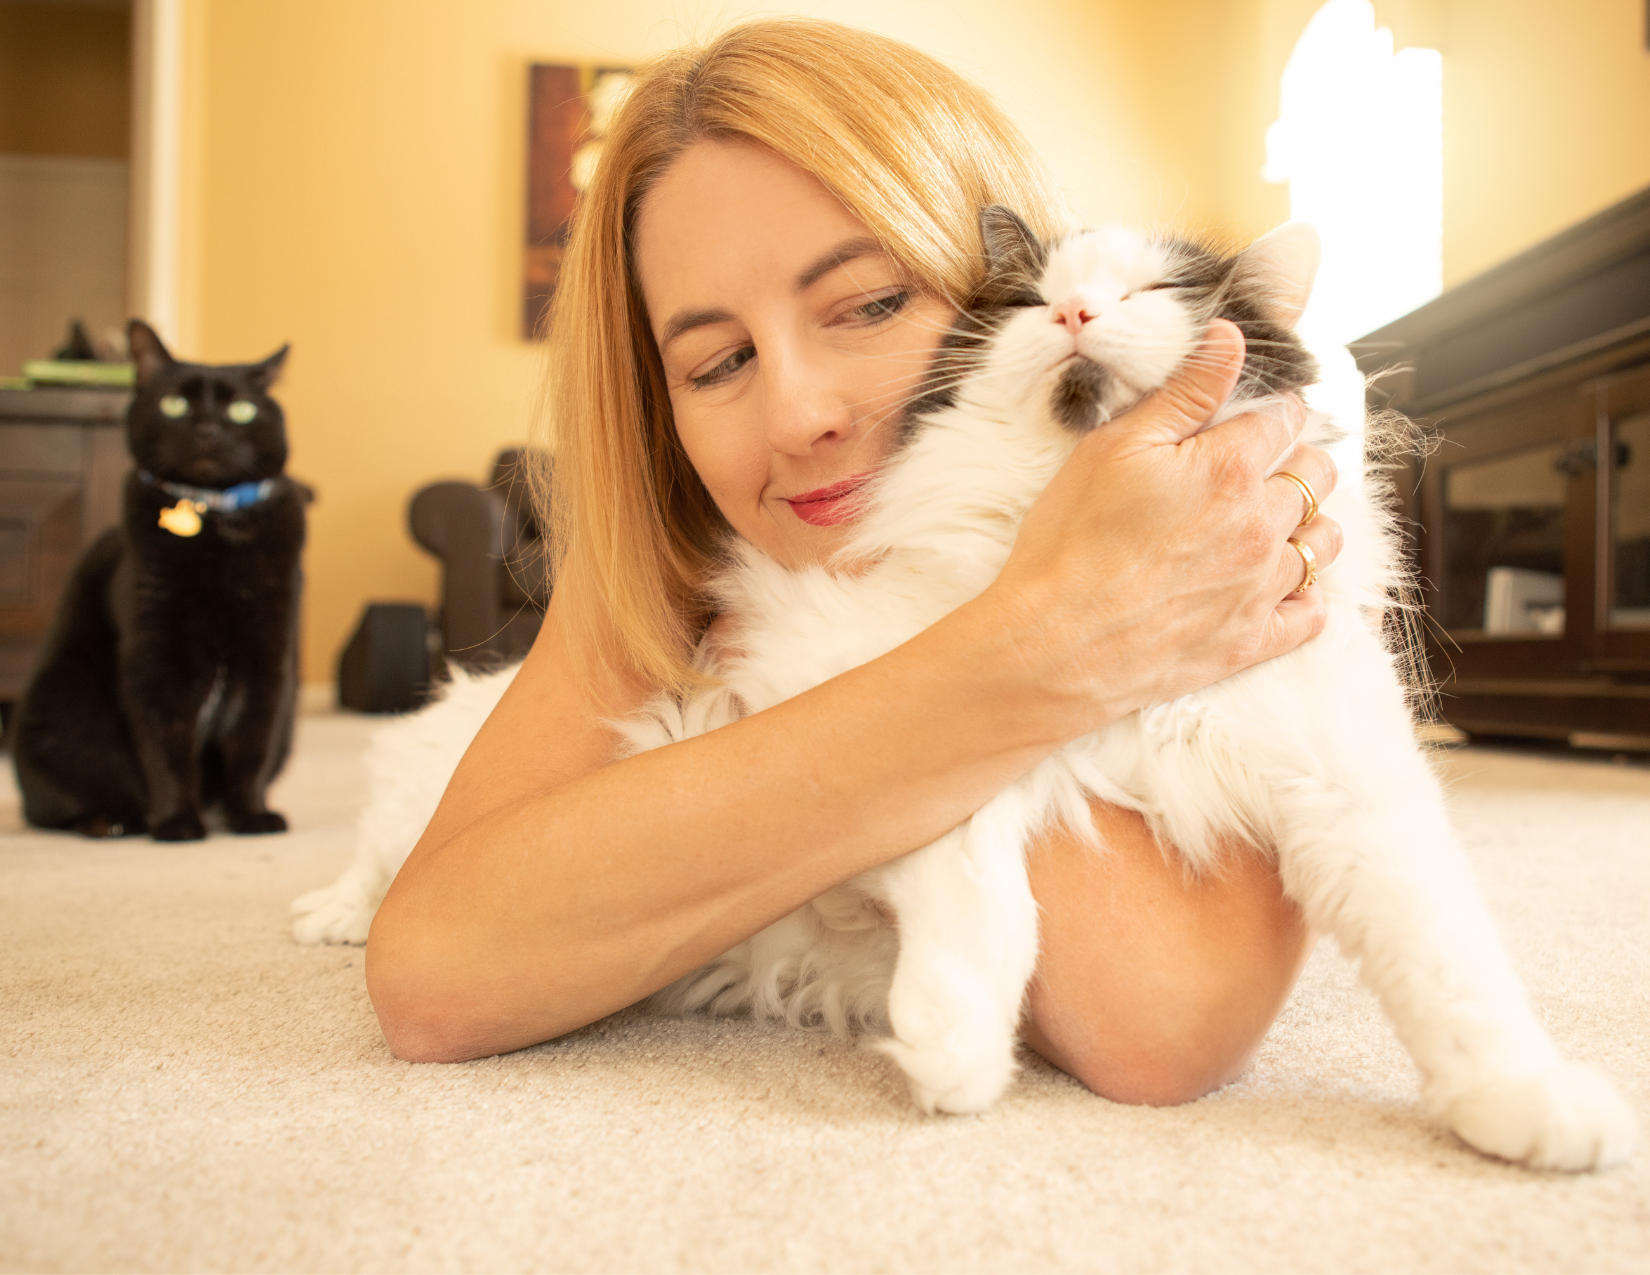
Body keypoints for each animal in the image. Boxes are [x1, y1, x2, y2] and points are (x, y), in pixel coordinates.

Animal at [12, 318, 306, 841]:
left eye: (242, 410)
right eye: (176, 405)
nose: (207, 428)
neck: (214, 520)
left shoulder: (269, 659)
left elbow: (251, 746)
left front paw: (251, 815)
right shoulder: (153, 656)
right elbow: (167, 745)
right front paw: (176, 821)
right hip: (62, 711)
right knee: (56, 807)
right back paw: (109, 821)